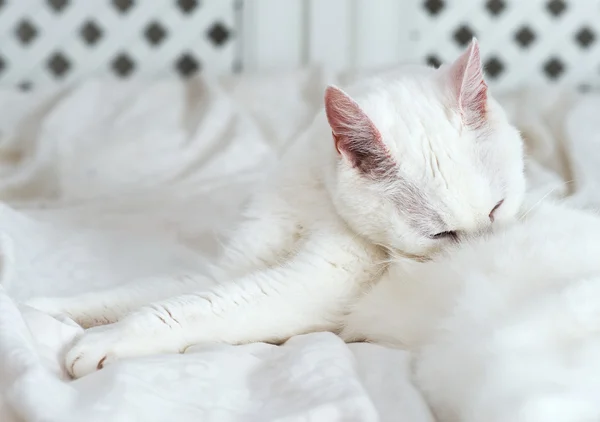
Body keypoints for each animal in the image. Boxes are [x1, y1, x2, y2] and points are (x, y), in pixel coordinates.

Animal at [24, 39, 524, 380]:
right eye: (441, 235)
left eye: (497, 209)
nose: (480, 258)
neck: (316, 200)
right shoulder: (234, 264)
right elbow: (135, 293)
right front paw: (41, 309)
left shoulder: (308, 288)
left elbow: (187, 308)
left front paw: (109, 340)